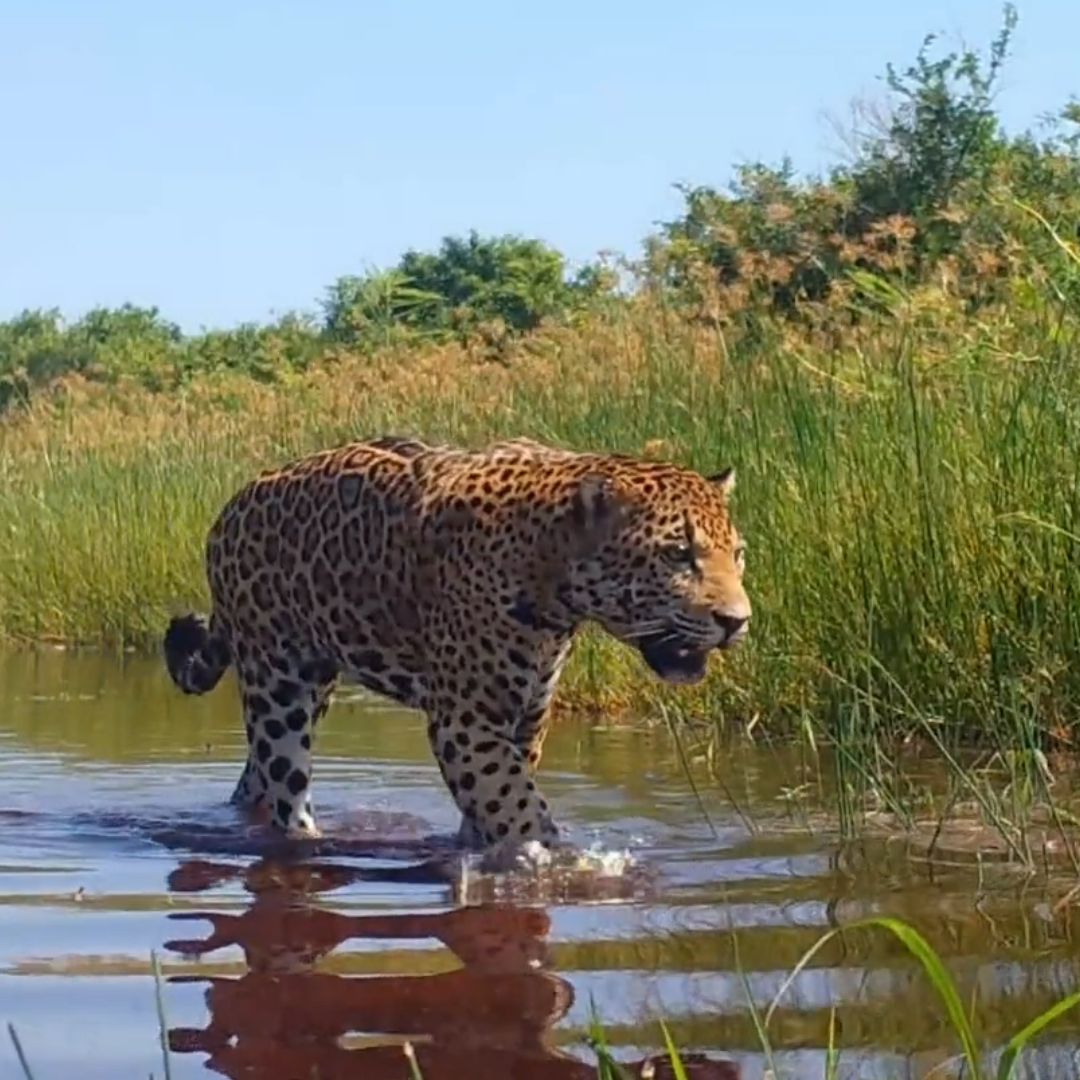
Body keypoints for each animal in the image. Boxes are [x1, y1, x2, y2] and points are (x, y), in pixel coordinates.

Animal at [163, 434, 751, 860]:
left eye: (738, 553)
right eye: (677, 554)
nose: (737, 621)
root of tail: (230, 509)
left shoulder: (526, 718)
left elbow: (496, 801)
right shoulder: (466, 721)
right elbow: (519, 806)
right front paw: (558, 863)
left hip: (314, 683)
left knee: (255, 781)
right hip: (277, 688)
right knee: (286, 791)